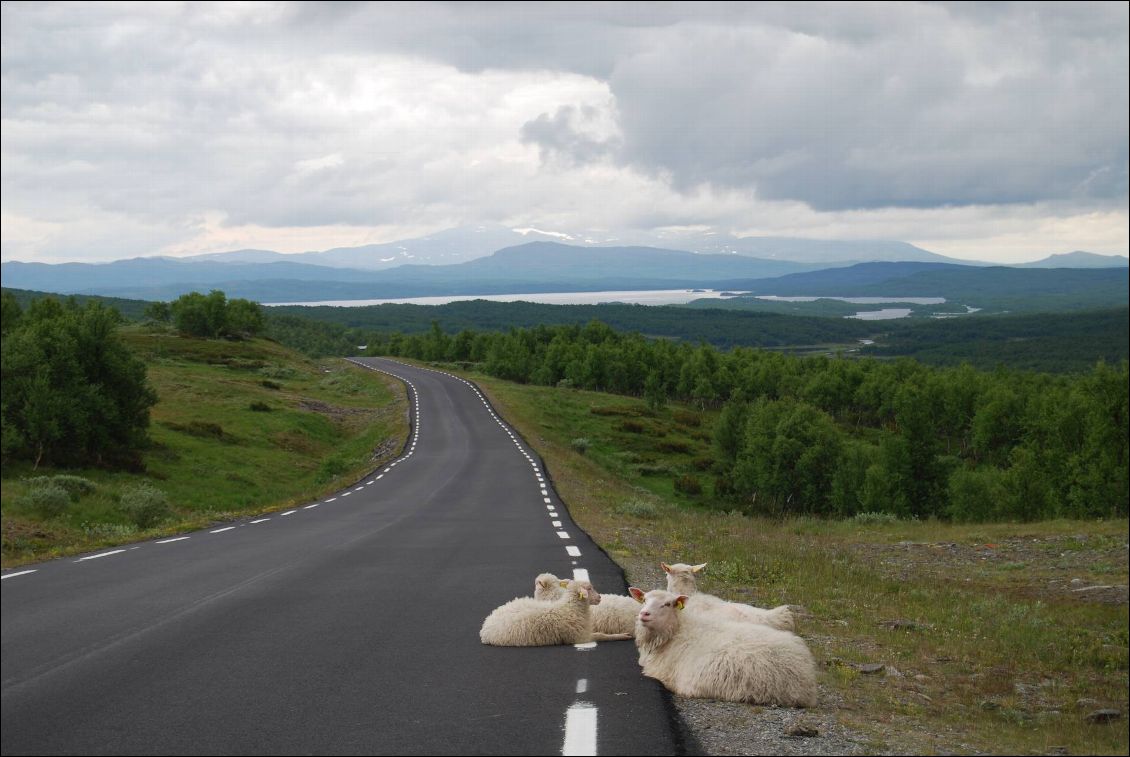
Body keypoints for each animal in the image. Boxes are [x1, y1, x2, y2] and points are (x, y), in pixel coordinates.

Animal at [479, 578, 637, 650]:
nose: (599, 598)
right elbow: (602, 635)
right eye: (589, 588)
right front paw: (622, 636)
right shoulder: (581, 637)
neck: (569, 608)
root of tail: (485, 625)